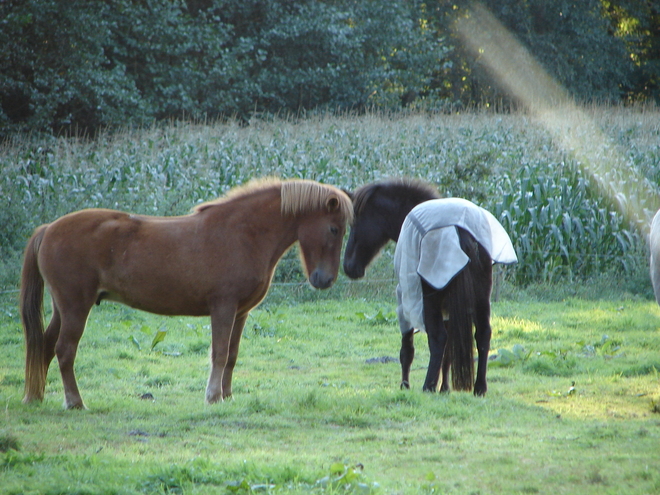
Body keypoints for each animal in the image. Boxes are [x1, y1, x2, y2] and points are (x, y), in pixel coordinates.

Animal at [20, 179, 354, 410]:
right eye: (334, 229)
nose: (325, 280)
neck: (244, 233)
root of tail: (48, 229)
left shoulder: (241, 313)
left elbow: (232, 355)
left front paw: (227, 395)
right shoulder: (223, 307)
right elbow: (219, 353)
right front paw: (213, 396)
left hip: (63, 308)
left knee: (45, 346)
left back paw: (36, 397)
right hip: (76, 306)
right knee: (65, 350)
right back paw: (75, 402)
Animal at [346, 180, 516, 398]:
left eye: (355, 224)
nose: (348, 266)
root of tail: (459, 232)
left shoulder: (404, 300)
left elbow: (407, 349)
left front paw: (406, 385)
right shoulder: (449, 310)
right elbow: (449, 353)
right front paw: (444, 388)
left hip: (431, 301)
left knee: (438, 339)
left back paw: (428, 386)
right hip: (481, 299)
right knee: (482, 335)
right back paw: (479, 388)